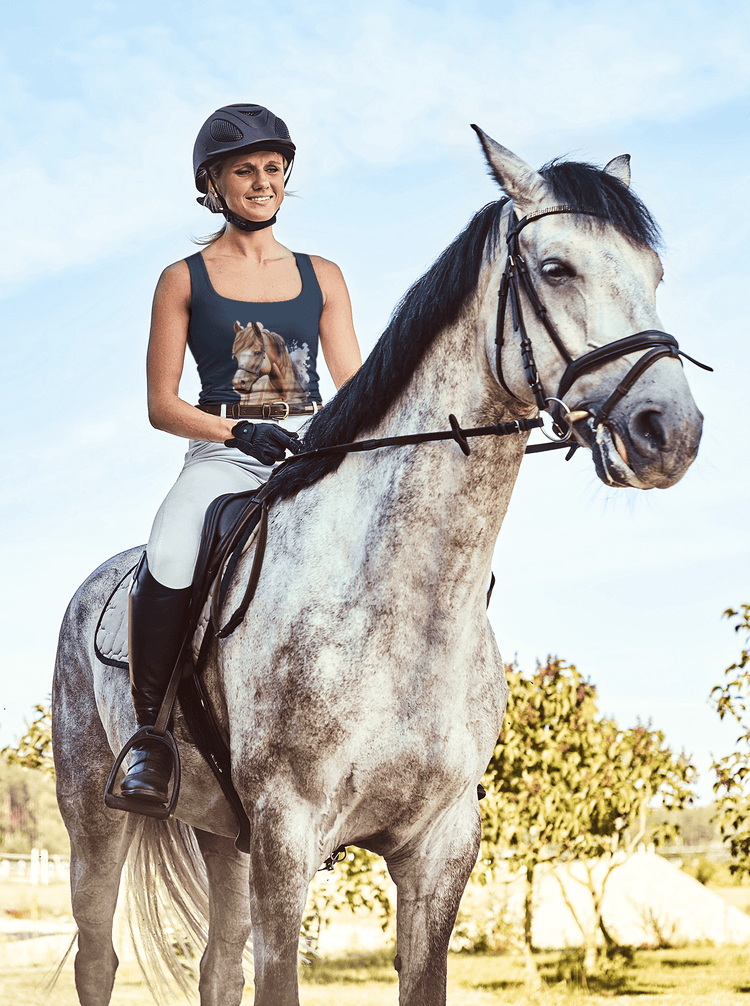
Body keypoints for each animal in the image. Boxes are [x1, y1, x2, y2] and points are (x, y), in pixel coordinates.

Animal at [51, 131, 699, 1006]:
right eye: (557, 268)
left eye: (653, 274)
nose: (672, 432)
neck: (406, 604)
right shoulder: (287, 839)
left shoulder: (440, 849)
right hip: (96, 815)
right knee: (98, 956)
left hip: (224, 835)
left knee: (216, 965)